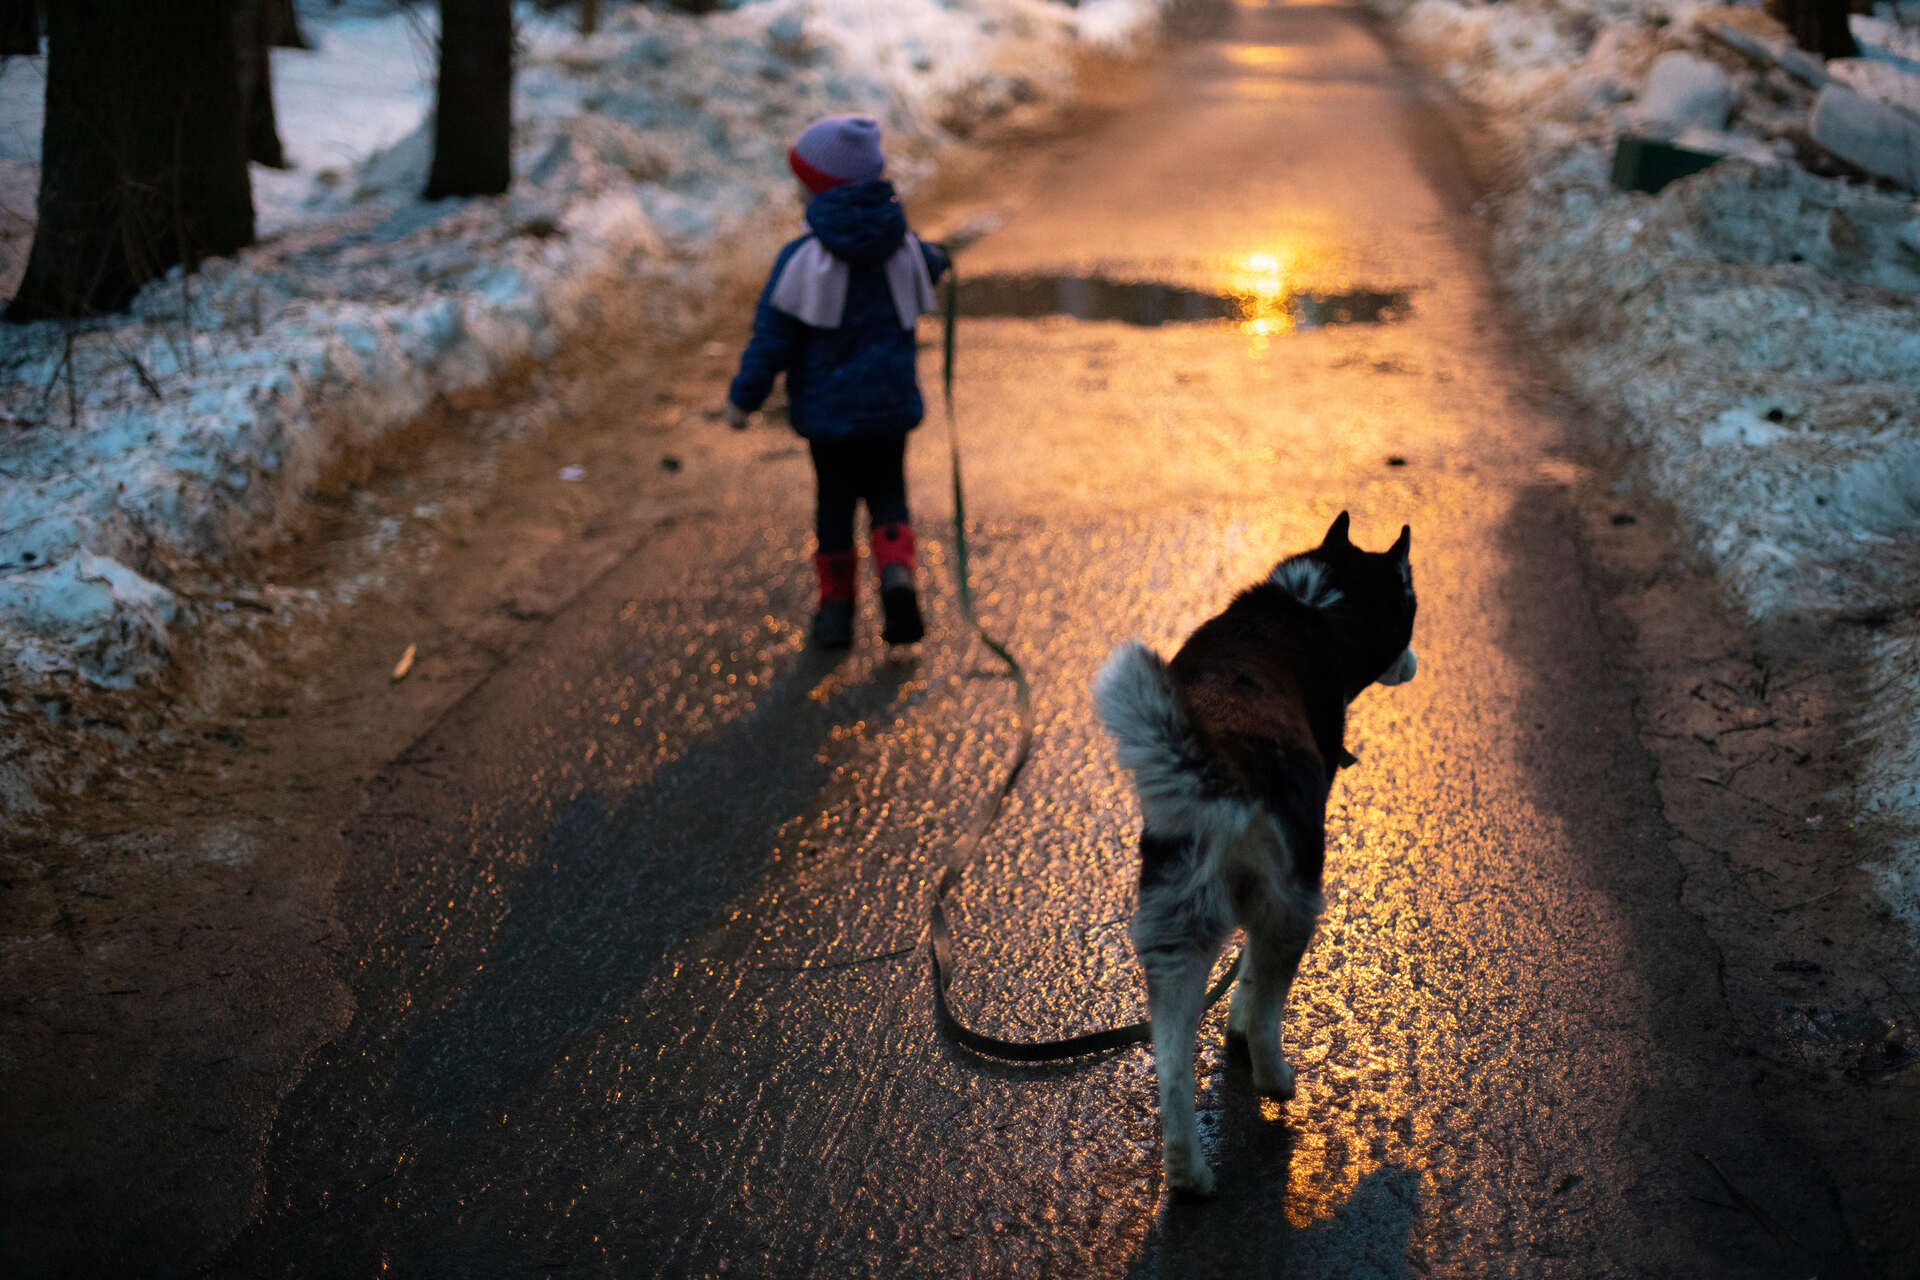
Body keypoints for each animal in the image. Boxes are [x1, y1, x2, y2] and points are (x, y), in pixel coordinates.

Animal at [1090, 514, 1420, 1197]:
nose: (1415, 662)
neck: (1317, 603)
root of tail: (1221, 768)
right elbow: (1250, 980)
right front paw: (1241, 1030)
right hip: (1295, 903)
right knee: (1268, 1006)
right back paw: (1274, 1078)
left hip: (1173, 933)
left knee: (1171, 1068)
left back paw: (1188, 1174)